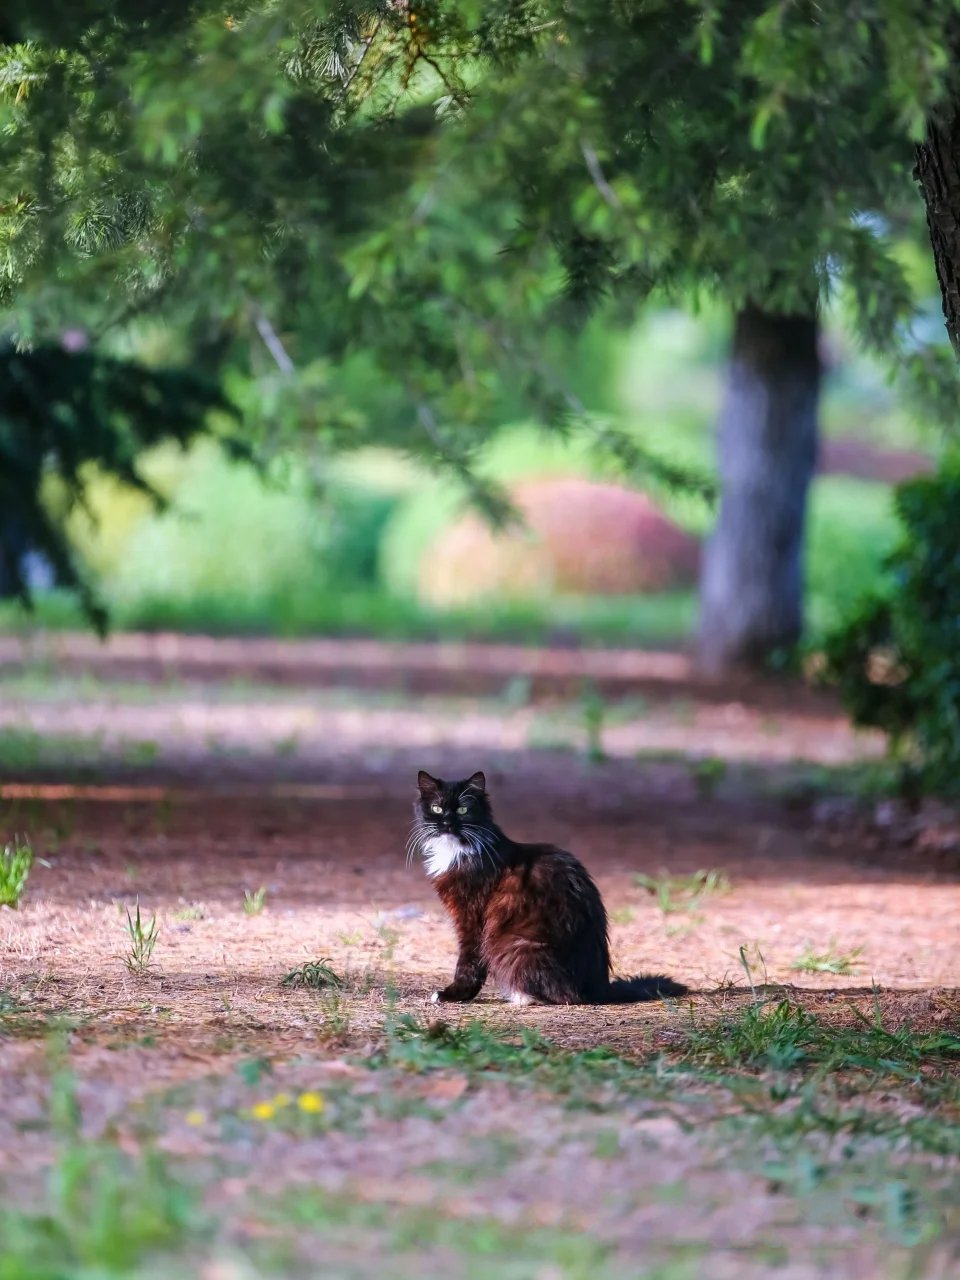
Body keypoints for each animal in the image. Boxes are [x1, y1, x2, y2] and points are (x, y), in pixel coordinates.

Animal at [409, 768, 686, 1008]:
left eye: (463, 809)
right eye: (436, 808)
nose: (447, 822)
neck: (458, 849)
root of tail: (600, 987)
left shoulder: (472, 918)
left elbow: (469, 963)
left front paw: (453, 995)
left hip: (517, 944)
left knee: (564, 995)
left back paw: (521, 996)